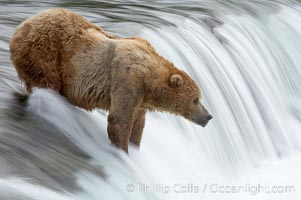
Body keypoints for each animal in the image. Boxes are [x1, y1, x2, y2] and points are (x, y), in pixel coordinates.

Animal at [9, 7, 211, 152]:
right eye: (196, 99)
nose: (208, 116)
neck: (150, 83)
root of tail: (21, 25)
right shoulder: (128, 79)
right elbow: (119, 119)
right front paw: (123, 151)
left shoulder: (141, 99)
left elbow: (138, 124)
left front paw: (135, 147)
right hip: (43, 52)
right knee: (47, 82)